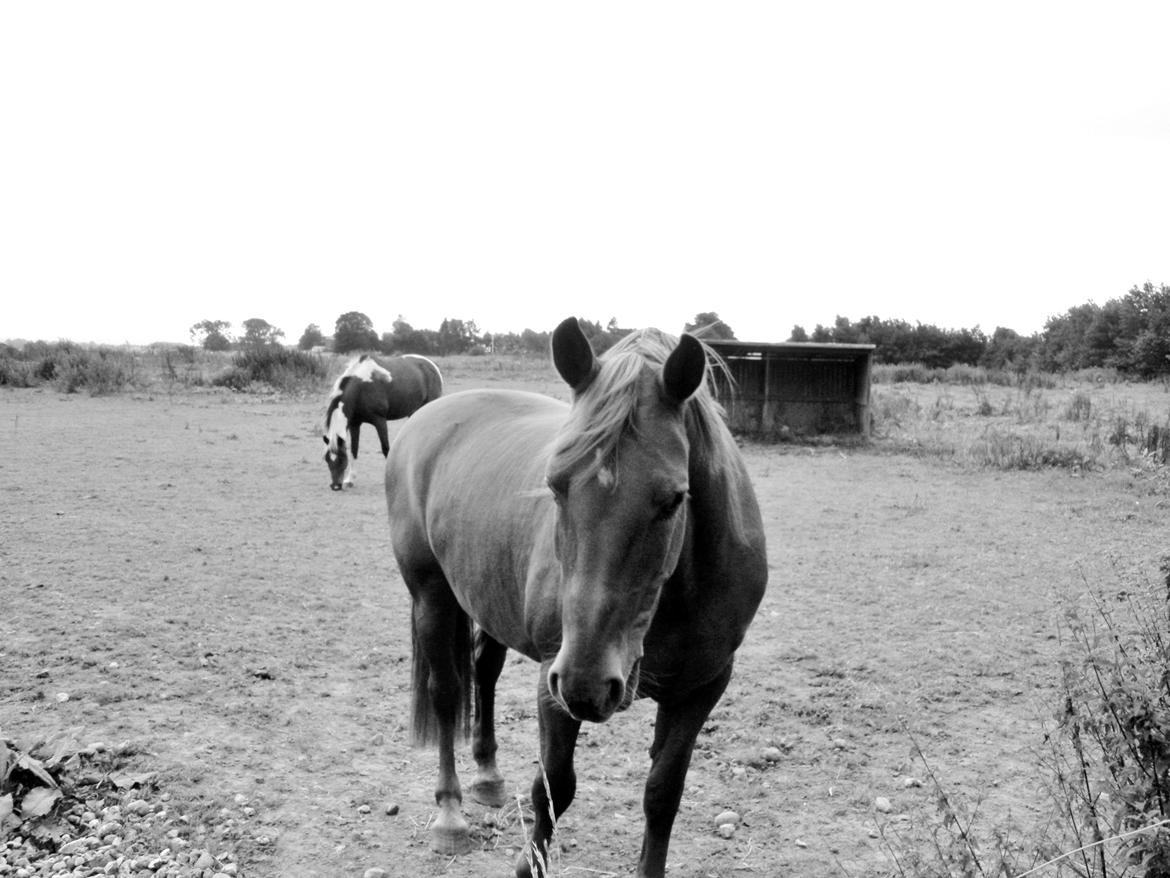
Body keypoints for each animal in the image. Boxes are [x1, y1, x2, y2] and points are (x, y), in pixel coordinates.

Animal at [322, 358, 439, 496]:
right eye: (327, 459)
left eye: (341, 459)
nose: (335, 486)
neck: (361, 388)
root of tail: (430, 364)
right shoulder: (355, 424)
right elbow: (354, 450)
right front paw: (350, 480)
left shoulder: (380, 421)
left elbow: (386, 449)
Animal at [383, 318, 767, 878]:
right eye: (555, 485)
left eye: (674, 499)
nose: (588, 683)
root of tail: (429, 414)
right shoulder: (553, 678)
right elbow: (554, 787)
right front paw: (530, 863)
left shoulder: (701, 689)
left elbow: (662, 795)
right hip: (431, 595)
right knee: (448, 691)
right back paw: (450, 815)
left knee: (485, 672)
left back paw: (488, 776)